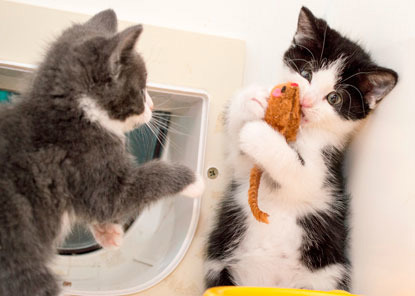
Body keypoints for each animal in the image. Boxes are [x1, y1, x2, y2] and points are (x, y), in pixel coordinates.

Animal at [0, 9, 205, 296]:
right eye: (142, 89)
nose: (153, 105)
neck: (77, 114)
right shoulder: (91, 167)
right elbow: (126, 193)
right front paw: (192, 180)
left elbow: (95, 207)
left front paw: (108, 233)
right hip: (23, 266)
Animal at [206, 5, 398, 290]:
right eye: (306, 74)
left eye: (334, 98)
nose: (305, 101)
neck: (298, 132)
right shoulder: (242, 169)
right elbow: (236, 144)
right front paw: (252, 99)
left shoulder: (323, 172)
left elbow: (297, 173)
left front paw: (258, 134)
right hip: (224, 272)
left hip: (326, 278)